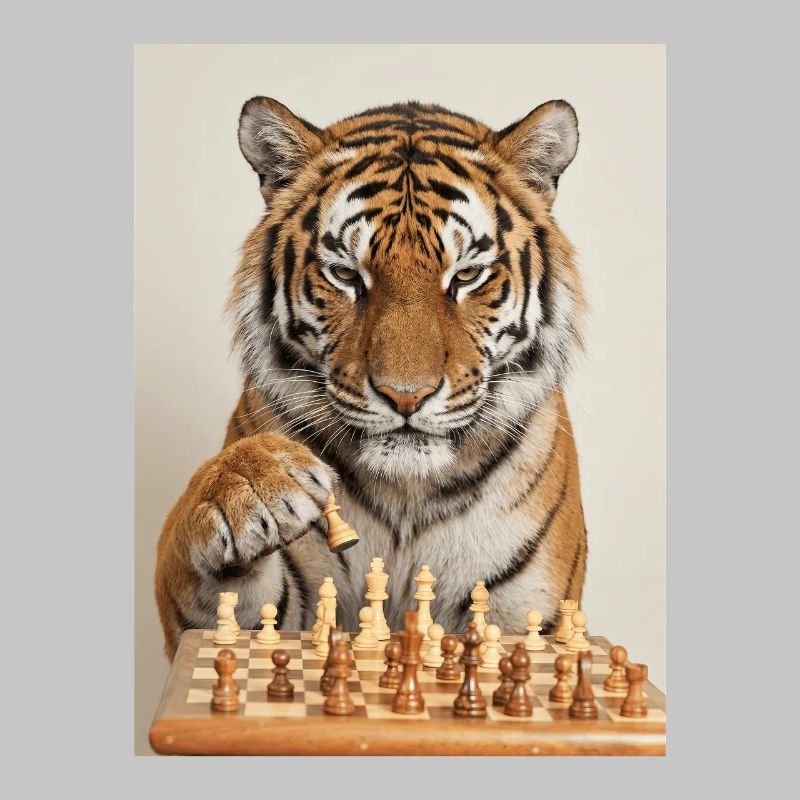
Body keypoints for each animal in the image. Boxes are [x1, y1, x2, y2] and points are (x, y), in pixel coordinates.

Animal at [155, 97, 588, 659]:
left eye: (466, 275)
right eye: (345, 274)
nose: (406, 397)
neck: (407, 499)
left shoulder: (530, 615)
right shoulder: (247, 619)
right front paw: (249, 483)